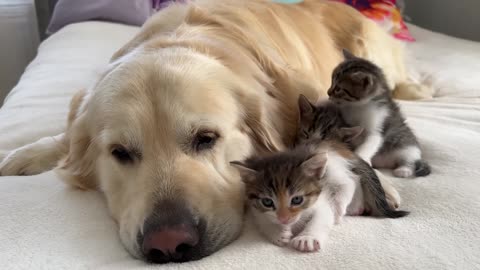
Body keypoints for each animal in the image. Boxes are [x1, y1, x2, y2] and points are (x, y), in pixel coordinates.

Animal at [326, 49, 432, 178]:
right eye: (331, 82)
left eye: (338, 89)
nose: (328, 92)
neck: (358, 106)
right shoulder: (347, 120)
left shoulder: (379, 125)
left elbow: (371, 142)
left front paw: (360, 157)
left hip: (409, 148)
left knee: (410, 160)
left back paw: (404, 170)